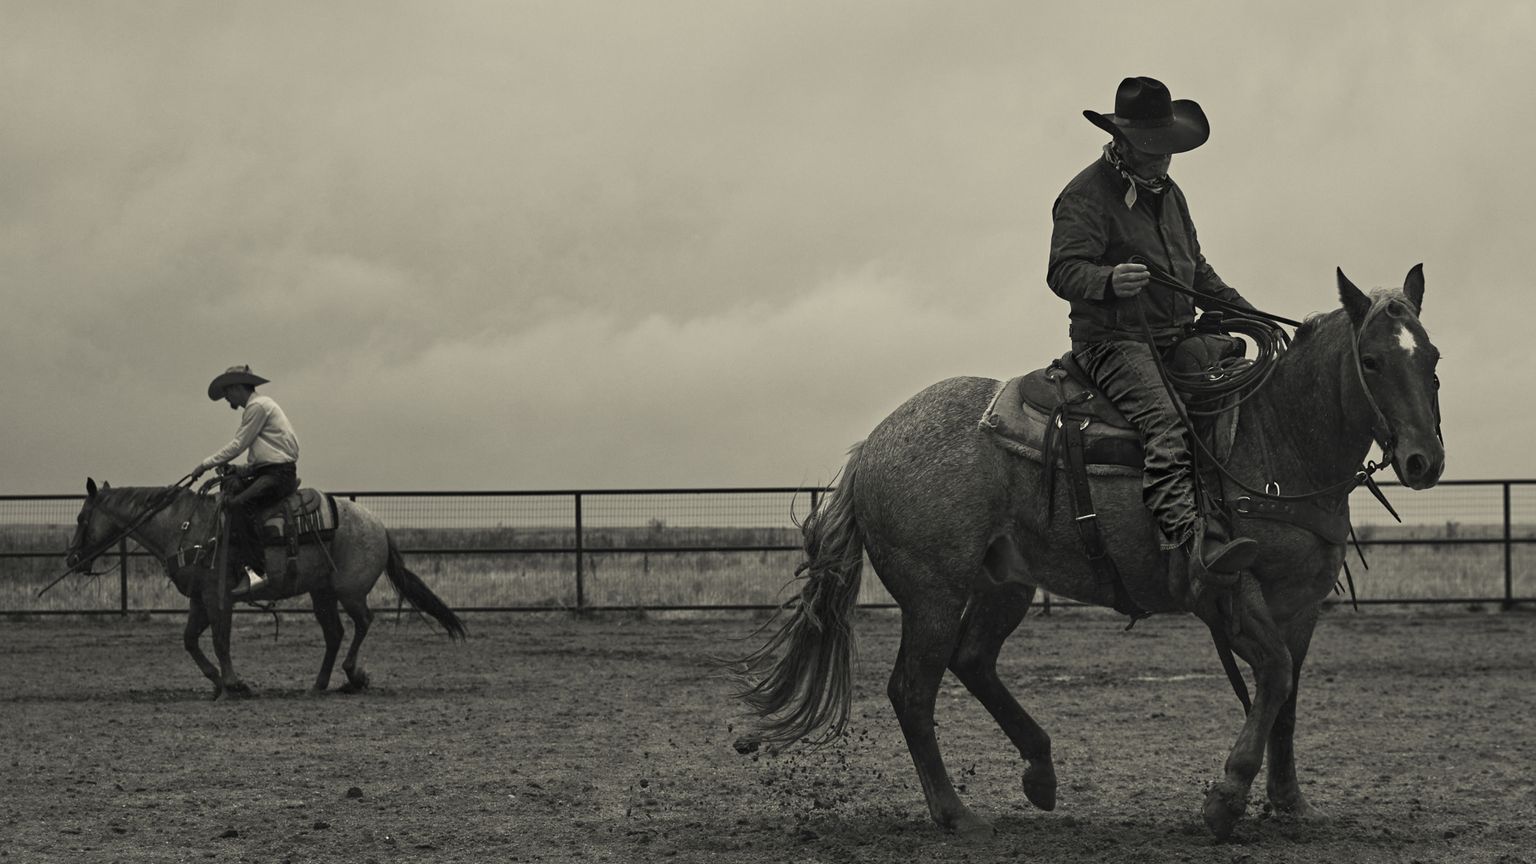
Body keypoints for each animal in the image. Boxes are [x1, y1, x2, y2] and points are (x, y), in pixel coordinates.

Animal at [62, 479, 466, 694]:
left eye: (81, 517)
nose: (71, 559)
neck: (186, 528)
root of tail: (378, 525)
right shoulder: (198, 600)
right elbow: (190, 640)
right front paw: (216, 681)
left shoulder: (217, 597)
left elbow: (220, 640)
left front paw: (233, 683)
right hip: (321, 593)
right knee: (335, 632)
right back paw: (319, 683)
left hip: (349, 591)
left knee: (363, 622)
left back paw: (354, 675)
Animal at [737, 265, 1443, 836]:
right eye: (1372, 361)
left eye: (1432, 356)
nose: (1423, 460)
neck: (1279, 437)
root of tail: (873, 447)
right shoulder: (1230, 591)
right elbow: (1271, 676)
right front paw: (1225, 799)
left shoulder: (1302, 604)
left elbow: (1288, 698)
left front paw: (1289, 803)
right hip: (934, 593)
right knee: (913, 690)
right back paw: (956, 813)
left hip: (1005, 582)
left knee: (972, 661)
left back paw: (1041, 773)